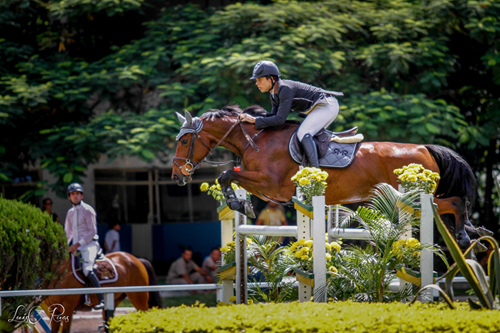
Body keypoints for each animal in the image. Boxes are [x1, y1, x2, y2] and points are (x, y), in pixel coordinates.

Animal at [172, 105, 488, 248]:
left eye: (185, 141)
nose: (177, 176)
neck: (257, 139)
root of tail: (425, 148)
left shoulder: (271, 185)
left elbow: (227, 175)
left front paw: (241, 205)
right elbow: (230, 176)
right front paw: (242, 204)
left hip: (413, 197)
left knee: (454, 203)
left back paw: (464, 234)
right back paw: (468, 232)